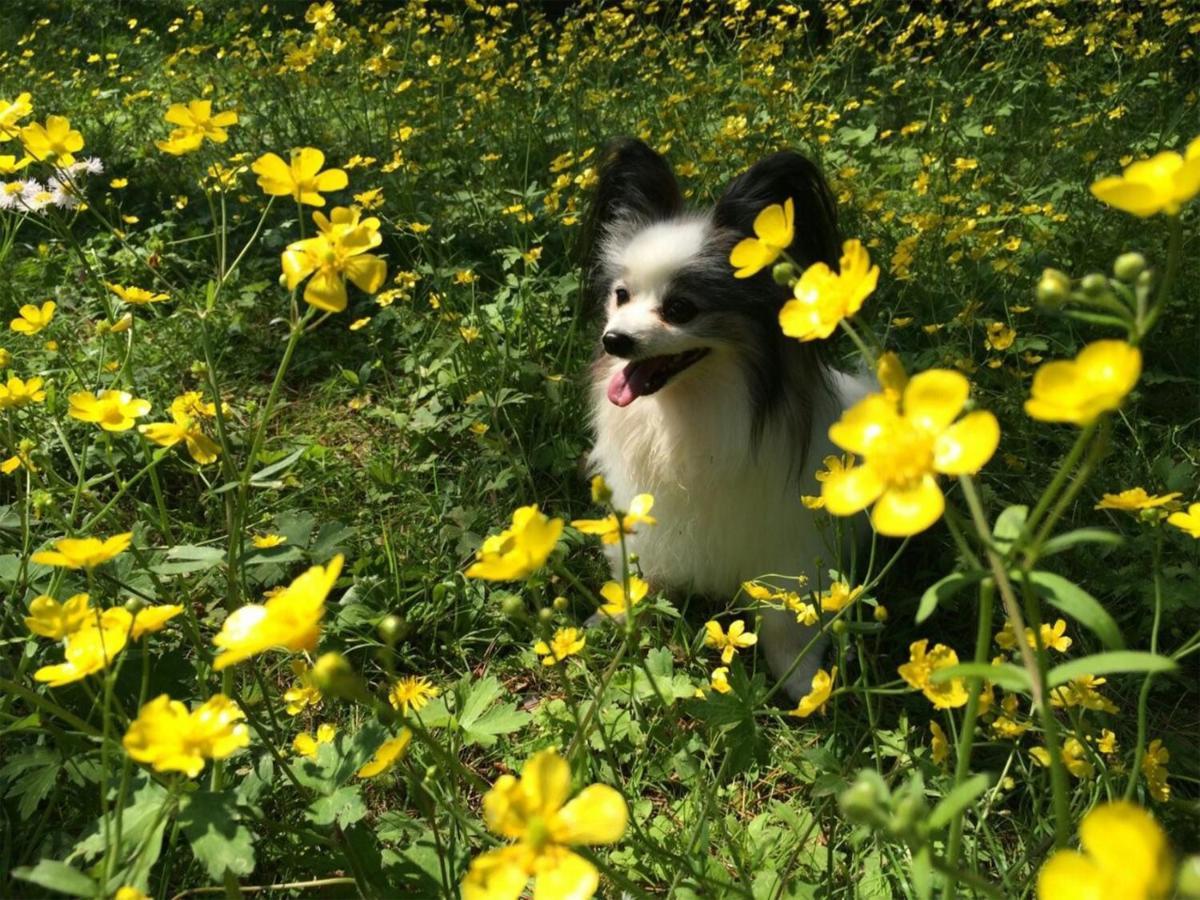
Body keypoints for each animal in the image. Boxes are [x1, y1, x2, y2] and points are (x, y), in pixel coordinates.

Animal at [583, 139, 873, 705]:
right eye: (621, 296)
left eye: (680, 308)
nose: (614, 340)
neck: (685, 412)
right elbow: (637, 578)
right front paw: (612, 622)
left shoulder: (787, 545)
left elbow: (786, 627)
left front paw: (802, 684)